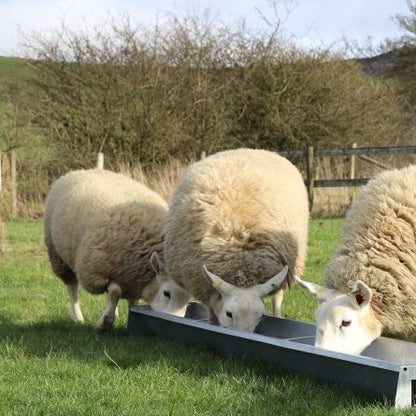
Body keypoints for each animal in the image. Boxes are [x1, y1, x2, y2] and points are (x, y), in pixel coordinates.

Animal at [44, 167, 190, 330]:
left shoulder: (133, 278)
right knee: (72, 287)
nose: (174, 323)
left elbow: (132, 301)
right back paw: (77, 316)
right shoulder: (100, 271)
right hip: (58, 256)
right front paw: (104, 322)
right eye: (166, 293)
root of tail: (79, 171)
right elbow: (115, 292)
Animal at [162, 149, 308, 332]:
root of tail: (249, 149)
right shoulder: (205, 286)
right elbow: (212, 312)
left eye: (261, 316)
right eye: (229, 314)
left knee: (278, 298)